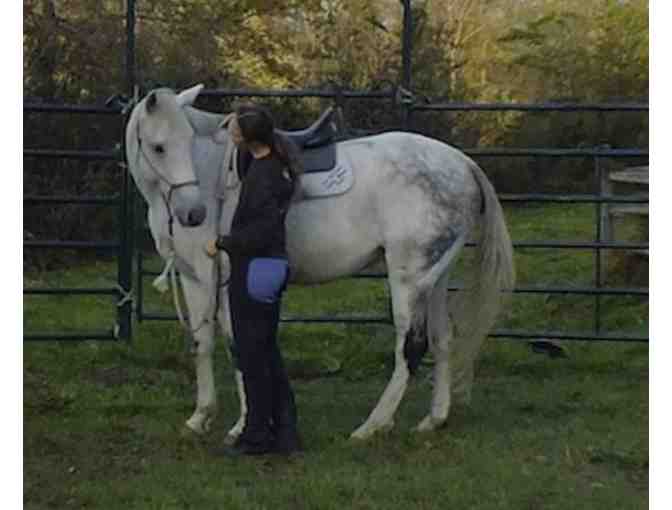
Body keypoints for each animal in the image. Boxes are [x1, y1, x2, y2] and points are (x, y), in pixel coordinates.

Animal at [126, 84, 516, 442]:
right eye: (159, 147)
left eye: (185, 141)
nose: (193, 214)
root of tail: (463, 164)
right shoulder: (192, 275)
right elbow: (202, 342)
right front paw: (200, 417)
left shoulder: (221, 279)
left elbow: (237, 344)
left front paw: (241, 425)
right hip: (434, 278)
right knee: (442, 339)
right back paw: (433, 420)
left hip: (409, 278)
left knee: (410, 347)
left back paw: (372, 426)